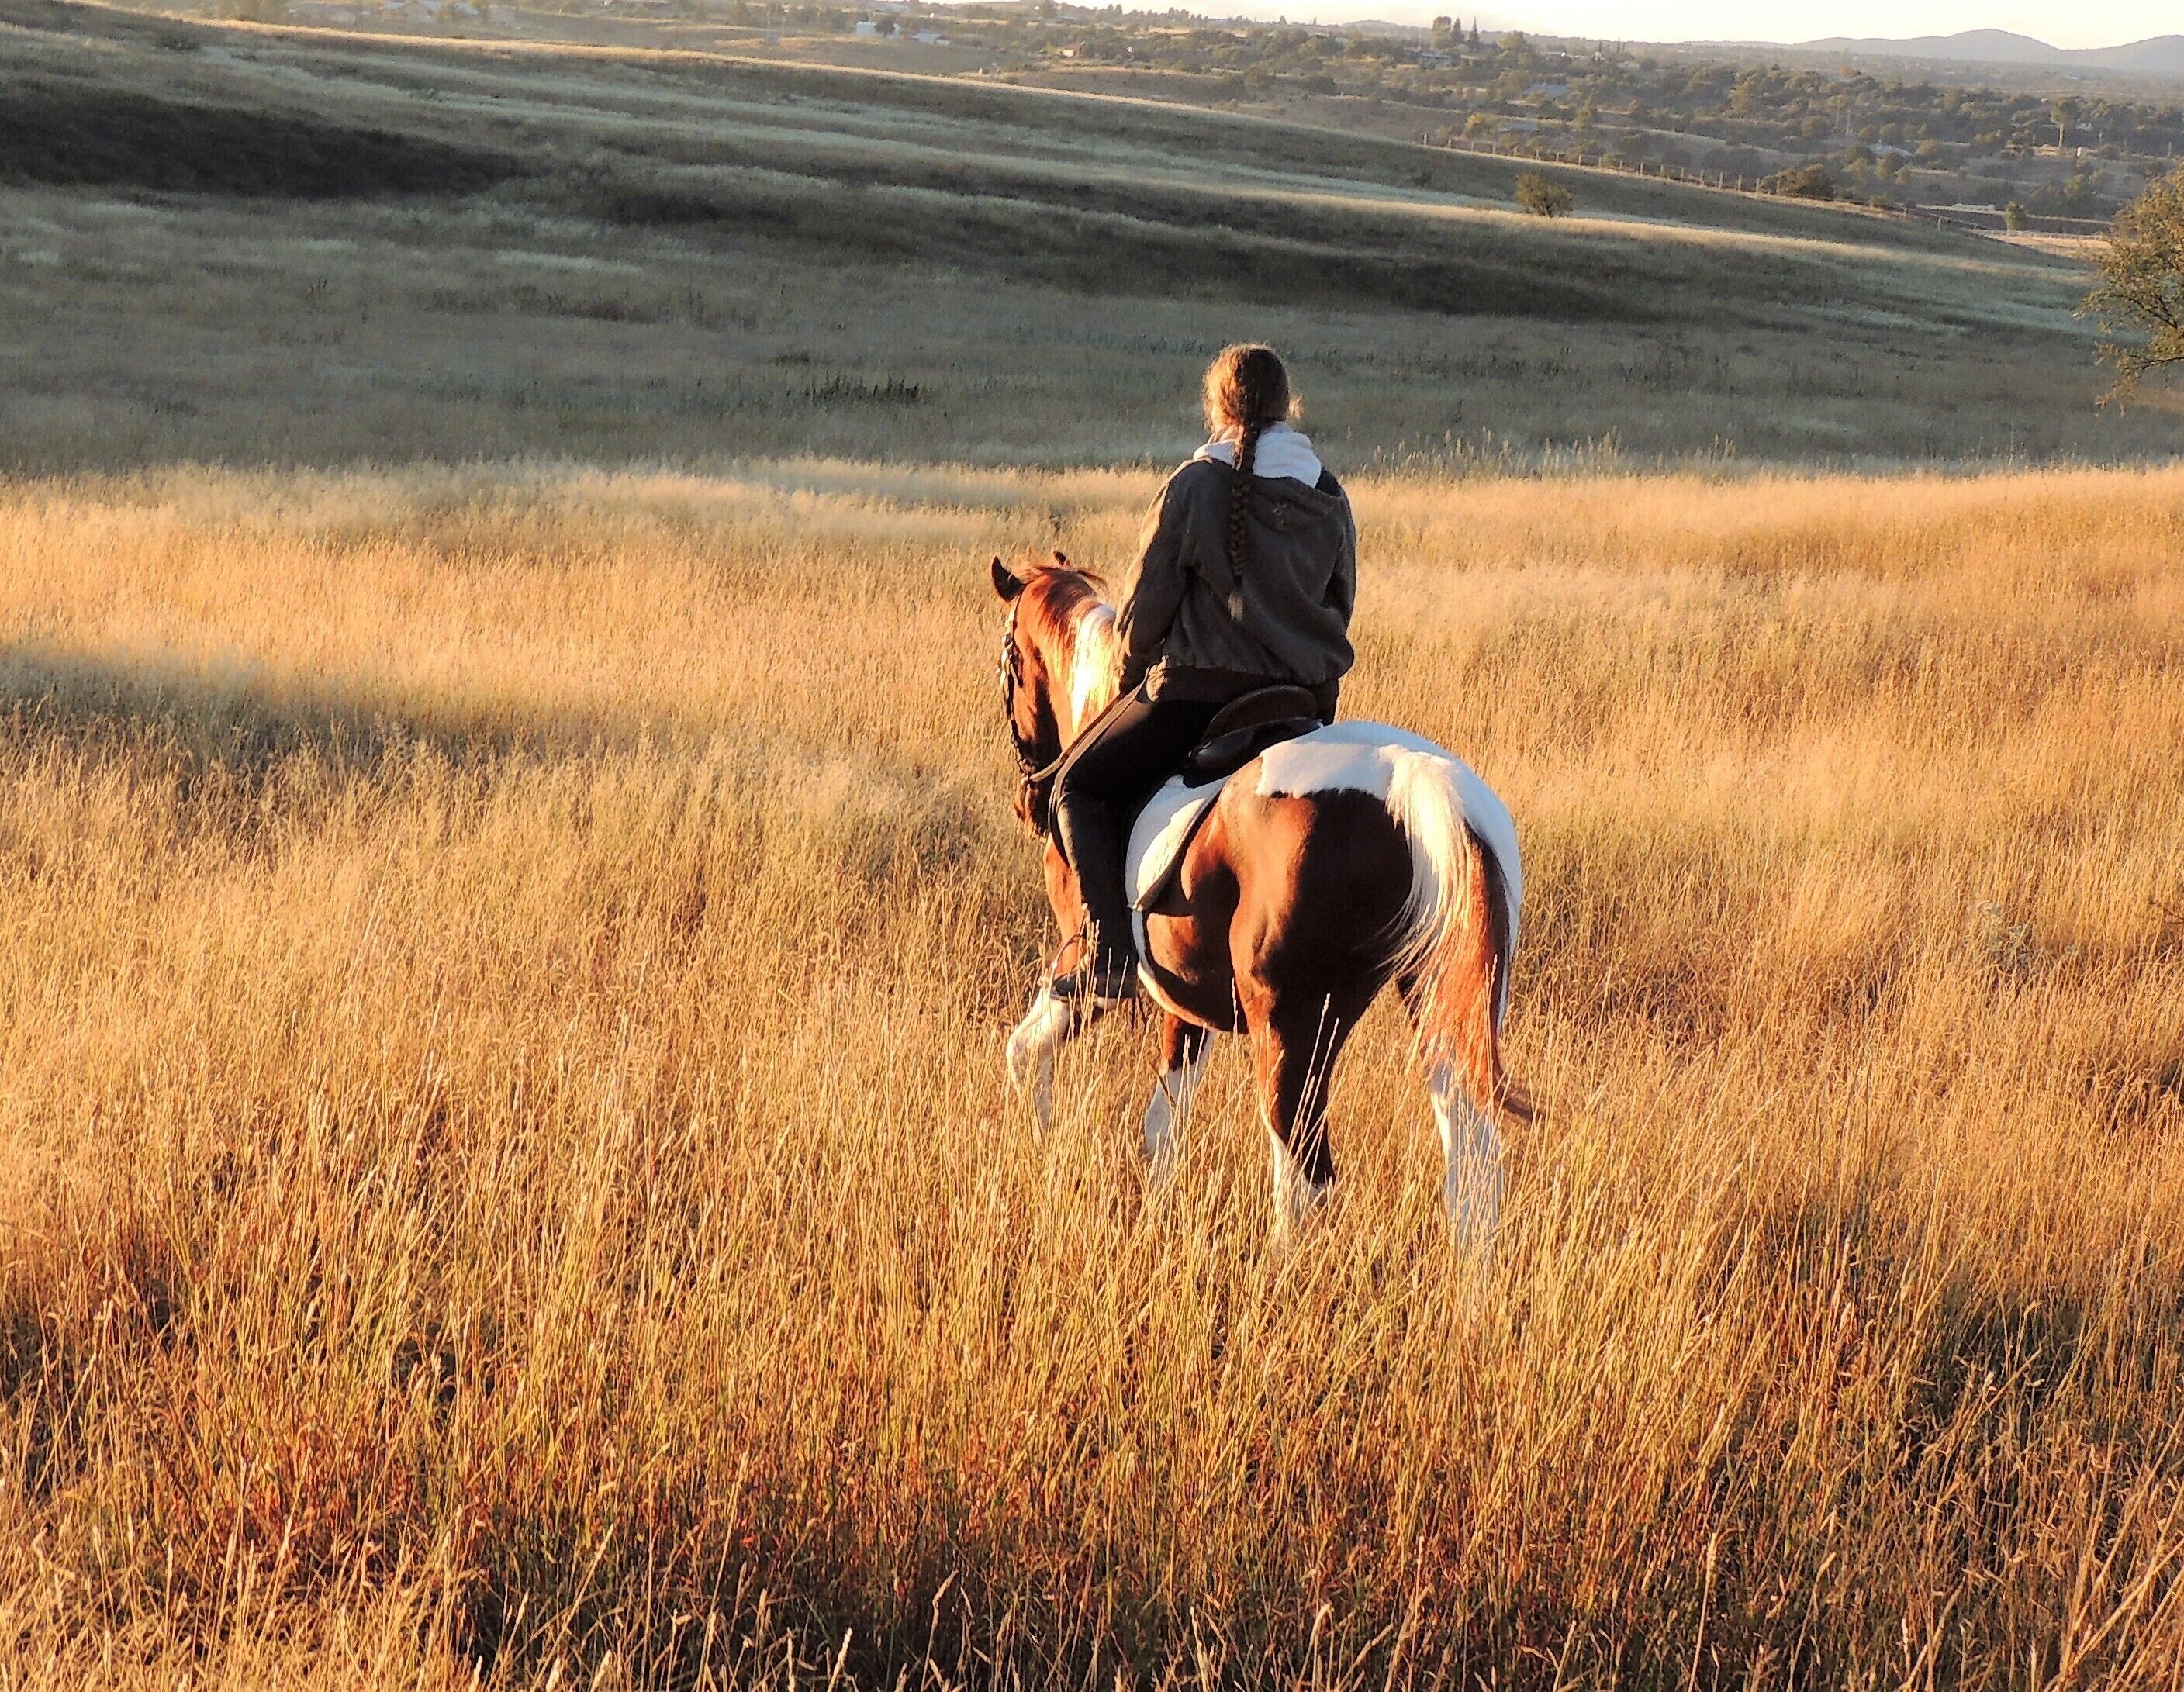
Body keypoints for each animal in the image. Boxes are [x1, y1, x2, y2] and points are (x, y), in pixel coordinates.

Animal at [990, 552, 1528, 1248]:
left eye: (1007, 658)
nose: (1028, 799)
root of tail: (1416, 782)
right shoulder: (1184, 998)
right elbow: (1163, 1124)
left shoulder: (1087, 965)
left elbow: (1027, 1053)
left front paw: (1046, 1157)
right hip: (1445, 1006)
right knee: (1472, 1164)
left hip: (1290, 1023)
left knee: (1304, 1175)